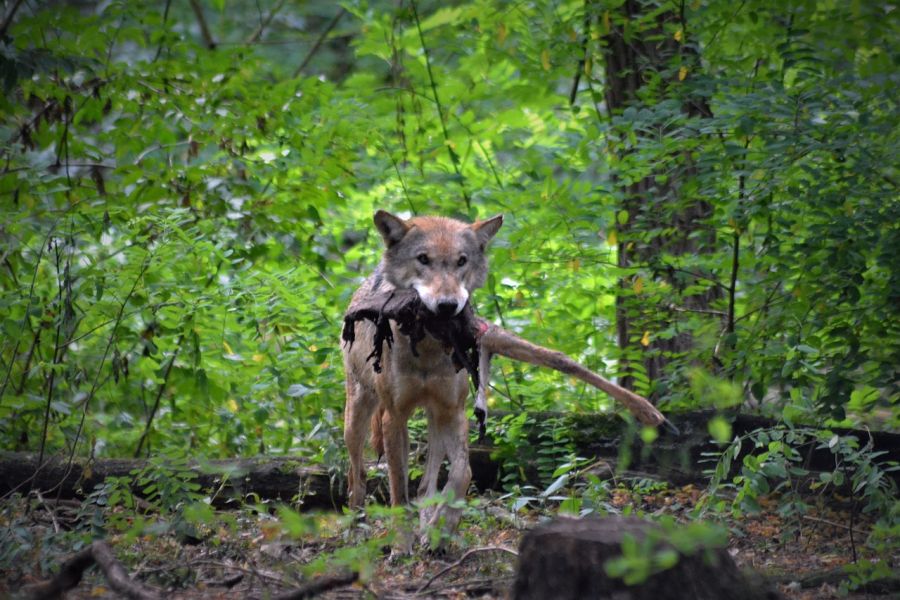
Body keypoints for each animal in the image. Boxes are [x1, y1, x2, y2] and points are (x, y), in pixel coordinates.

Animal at [342, 210, 503, 542]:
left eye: (462, 261)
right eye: (423, 259)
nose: (447, 306)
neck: (427, 346)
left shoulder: (454, 411)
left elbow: (461, 473)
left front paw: (443, 527)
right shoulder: (394, 416)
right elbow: (398, 490)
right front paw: (401, 544)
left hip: (434, 418)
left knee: (427, 484)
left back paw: (429, 526)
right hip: (356, 420)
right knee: (357, 473)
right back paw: (356, 529)